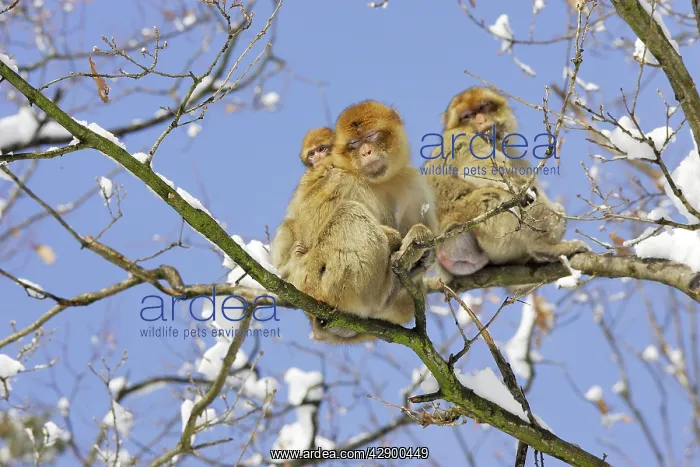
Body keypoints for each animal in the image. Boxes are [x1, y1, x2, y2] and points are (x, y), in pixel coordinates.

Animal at [271, 101, 437, 343]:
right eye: (354, 143)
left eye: (372, 135)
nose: (366, 151)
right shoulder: (337, 179)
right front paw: (398, 239)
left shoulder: (411, 179)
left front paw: (423, 244)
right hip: (324, 284)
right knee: (347, 213)